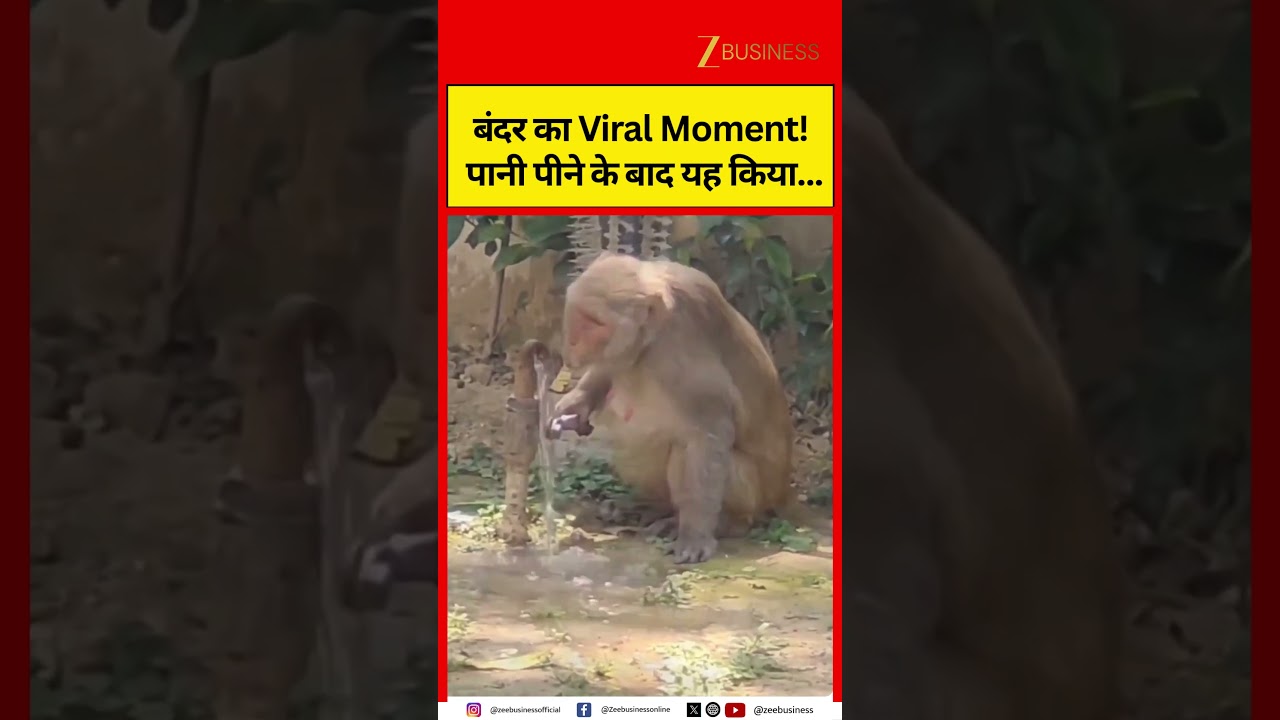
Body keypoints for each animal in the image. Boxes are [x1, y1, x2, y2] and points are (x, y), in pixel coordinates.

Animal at [552, 254, 795, 564]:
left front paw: (695, 535)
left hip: (755, 494)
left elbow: (708, 433)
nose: (570, 345)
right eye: (578, 314)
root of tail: (782, 493)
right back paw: (650, 508)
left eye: (595, 323)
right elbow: (612, 366)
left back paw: (725, 522)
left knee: (682, 449)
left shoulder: (678, 345)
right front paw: (576, 402)